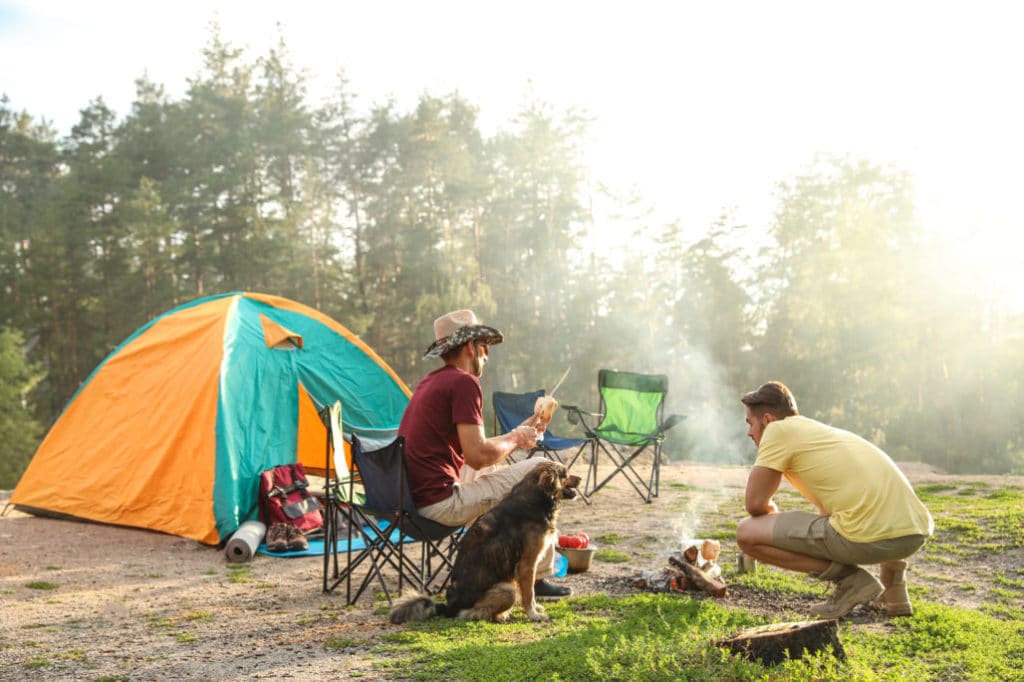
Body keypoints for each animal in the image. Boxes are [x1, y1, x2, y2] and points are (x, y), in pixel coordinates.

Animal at [391, 456, 581, 622]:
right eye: (565, 473)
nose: (579, 478)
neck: (538, 497)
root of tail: (448, 607)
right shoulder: (527, 563)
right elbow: (529, 593)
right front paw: (533, 614)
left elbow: (531, 593)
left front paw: (535, 609)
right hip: (507, 589)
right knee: (470, 614)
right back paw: (499, 616)